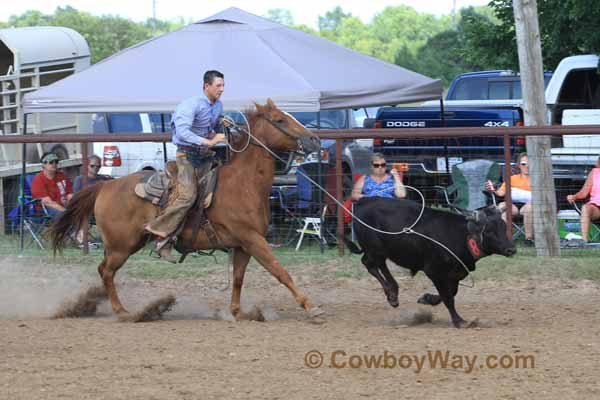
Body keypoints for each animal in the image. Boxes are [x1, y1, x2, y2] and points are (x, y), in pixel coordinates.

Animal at [49, 101, 324, 322]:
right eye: (280, 120)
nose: (314, 139)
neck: (243, 183)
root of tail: (105, 186)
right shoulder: (252, 239)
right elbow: (280, 271)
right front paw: (311, 307)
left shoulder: (243, 245)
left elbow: (238, 279)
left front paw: (238, 313)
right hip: (121, 246)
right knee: (106, 272)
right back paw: (124, 312)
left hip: (125, 244)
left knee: (104, 270)